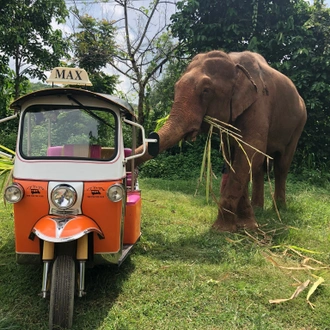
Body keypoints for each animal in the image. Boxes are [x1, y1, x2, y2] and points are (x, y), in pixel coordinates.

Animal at [135, 50, 306, 233]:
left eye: (206, 90)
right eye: (176, 87)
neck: (233, 61)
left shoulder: (259, 103)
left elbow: (249, 152)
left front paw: (223, 229)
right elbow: (234, 156)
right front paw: (246, 224)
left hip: (299, 124)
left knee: (282, 165)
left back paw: (279, 209)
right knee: (260, 167)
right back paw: (258, 208)